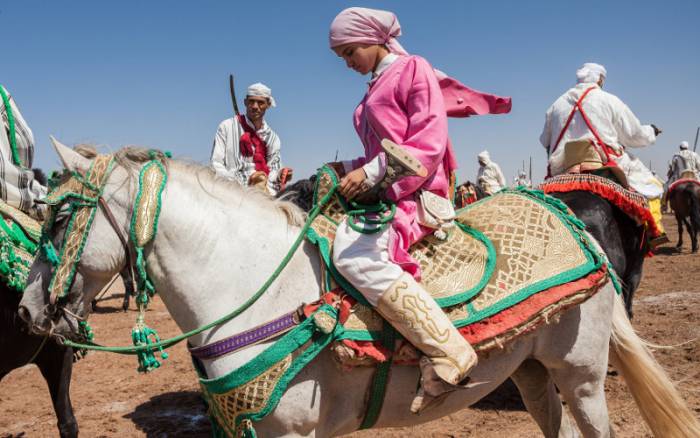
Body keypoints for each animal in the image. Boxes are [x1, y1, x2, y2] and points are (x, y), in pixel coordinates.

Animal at [17, 142, 700, 436]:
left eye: (58, 216)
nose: (25, 310)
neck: (254, 293)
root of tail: (567, 218)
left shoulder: (294, 434)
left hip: (580, 372)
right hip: (530, 370)